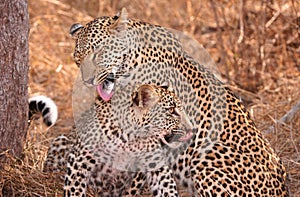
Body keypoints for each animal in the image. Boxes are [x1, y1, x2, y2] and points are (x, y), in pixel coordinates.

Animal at [44, 82, 195, 195]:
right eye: (173, 112)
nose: (192, 129)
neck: (131, 138)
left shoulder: (157, 167)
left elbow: (167, 188)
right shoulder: (79, 159)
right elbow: (75, 189)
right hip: (61, 141)